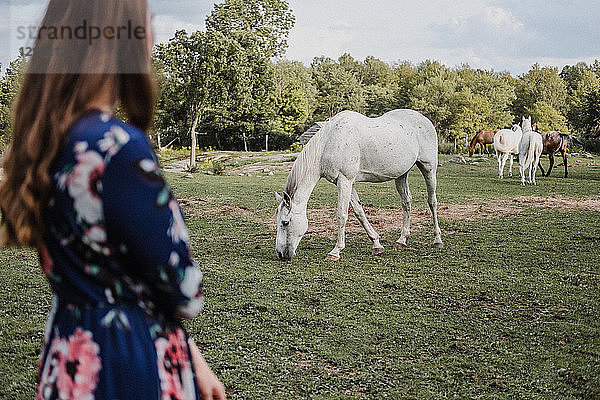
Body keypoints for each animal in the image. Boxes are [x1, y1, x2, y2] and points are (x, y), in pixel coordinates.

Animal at [276, 108, 440, 262]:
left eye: (285, 222)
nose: (280, 254)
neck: (328, 143)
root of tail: (425, 120)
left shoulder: (345, 180)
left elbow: (341, 215)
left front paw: (335, 251)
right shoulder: (347, 182)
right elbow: (359, 212)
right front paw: (377, 245)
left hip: (429, 168)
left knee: (432, 201)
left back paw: (437, 240)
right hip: (401, 175)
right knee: (406, 202)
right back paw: (402, 240)